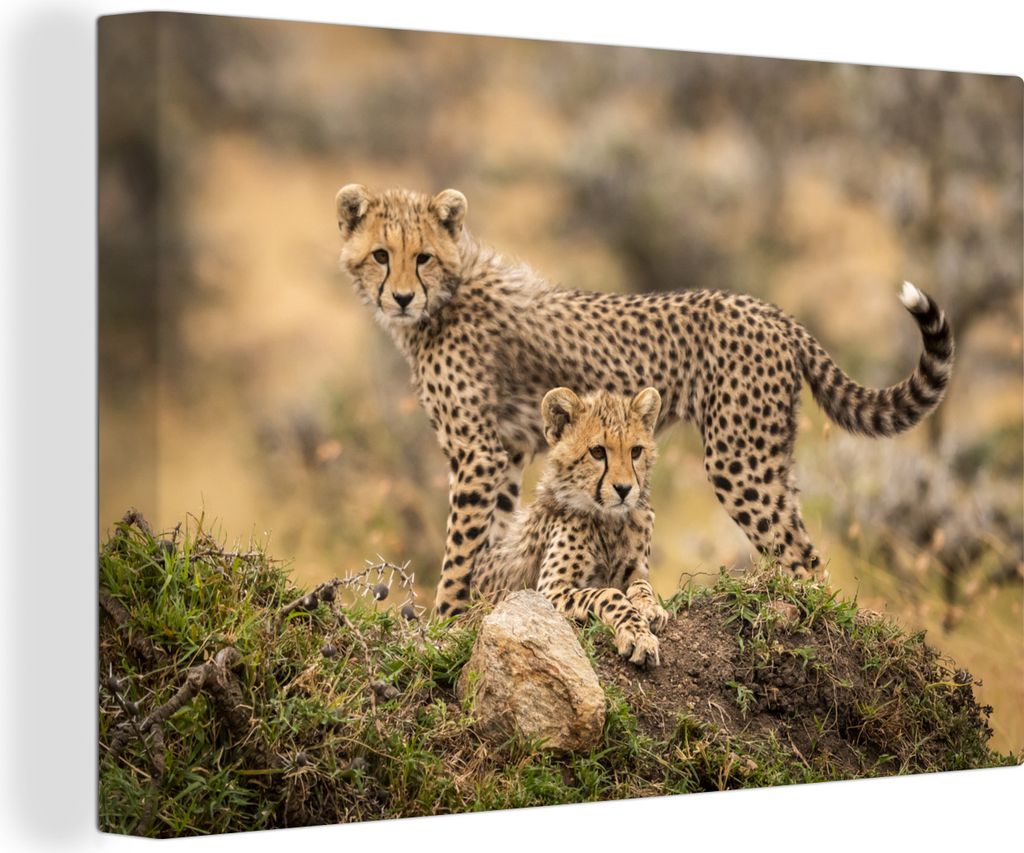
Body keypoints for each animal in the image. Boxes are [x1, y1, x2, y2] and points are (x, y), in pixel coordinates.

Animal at [334, 184, 955, 618]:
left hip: (739, 459)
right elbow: (495, 538)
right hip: (770, 455)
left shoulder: (478, 453)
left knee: (803, 556)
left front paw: (444, 622)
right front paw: (477, 608)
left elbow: (461, 549)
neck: (447, 296)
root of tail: (771, 311)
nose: (402, 297)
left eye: (423, 257)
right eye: (382, 255)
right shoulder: (505, 454)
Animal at [472, 386, 669, 667]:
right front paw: (637, 635)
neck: (609, 521)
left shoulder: (635, 570)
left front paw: (651, 608)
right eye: (597, 452)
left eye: (636, 451)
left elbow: (642, 585)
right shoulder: (548, 591)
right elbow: (609, 594)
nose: (624, 489)